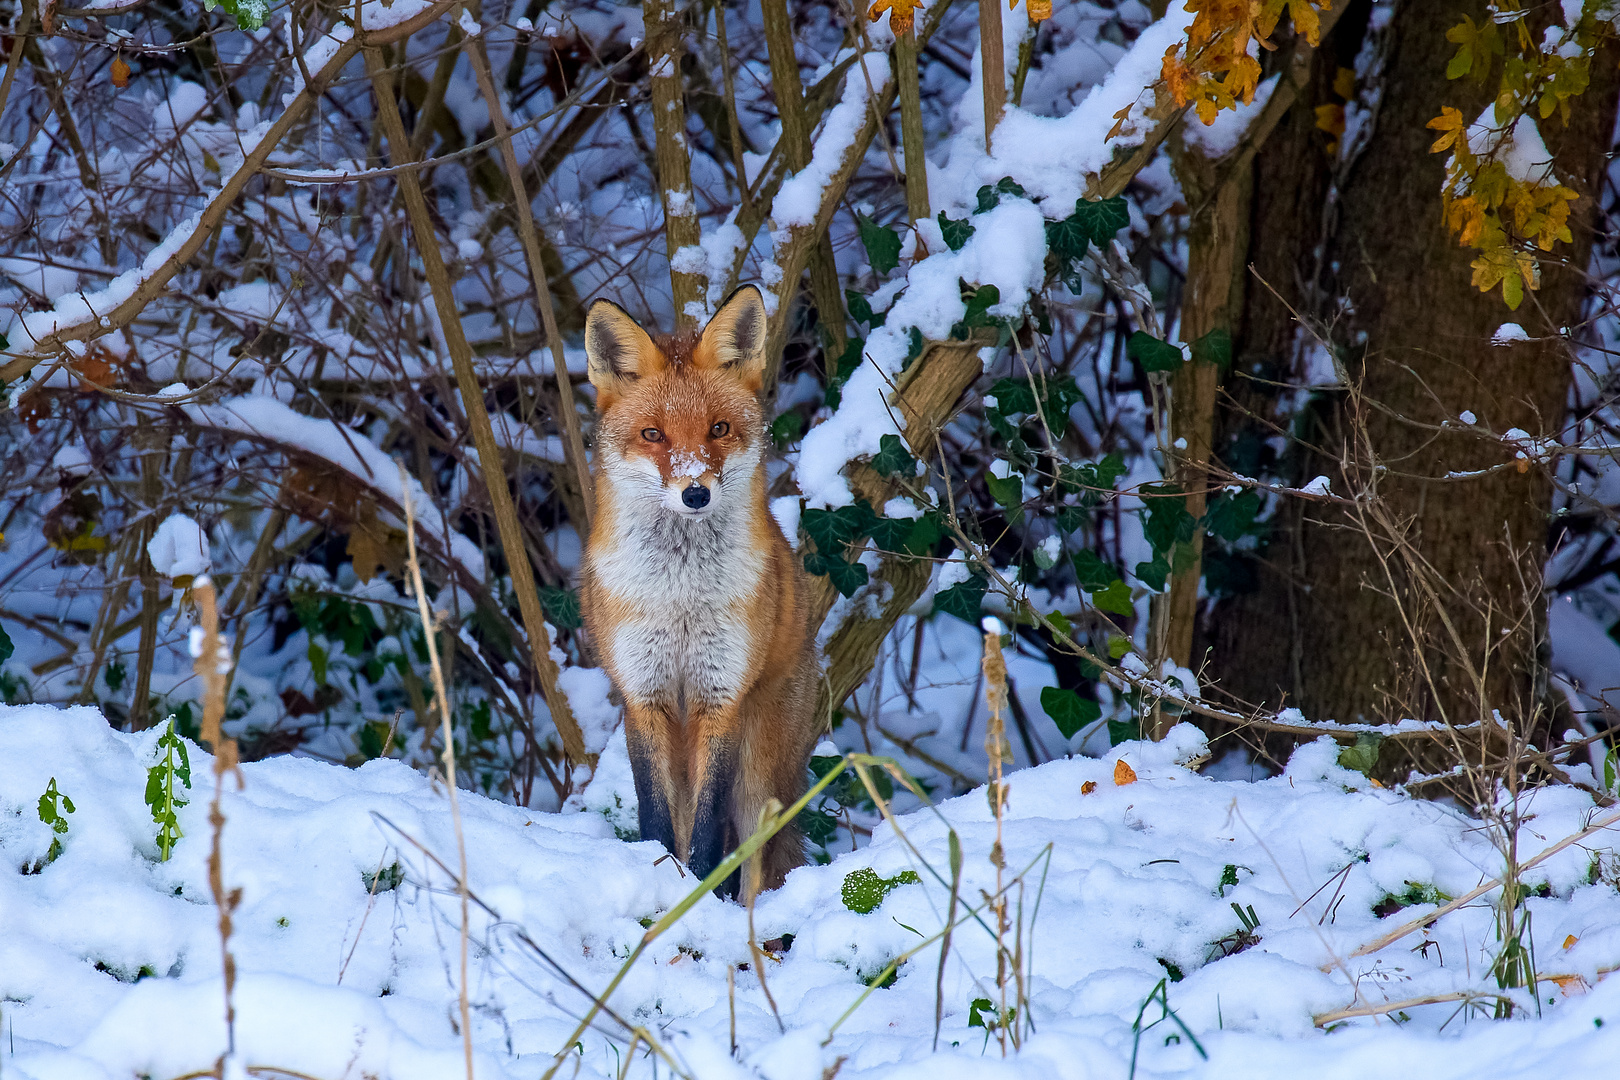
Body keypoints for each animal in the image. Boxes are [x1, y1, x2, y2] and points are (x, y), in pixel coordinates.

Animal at [579, 283, 822, 900]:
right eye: (653, 435)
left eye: (718, 429)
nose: (694, 493)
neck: (680, 597)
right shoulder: (643, 696)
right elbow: (656, 819)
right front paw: (660, 880)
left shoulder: (722, 697)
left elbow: (712, 838)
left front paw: (699, 899)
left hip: (760, 777)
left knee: (759, 858)